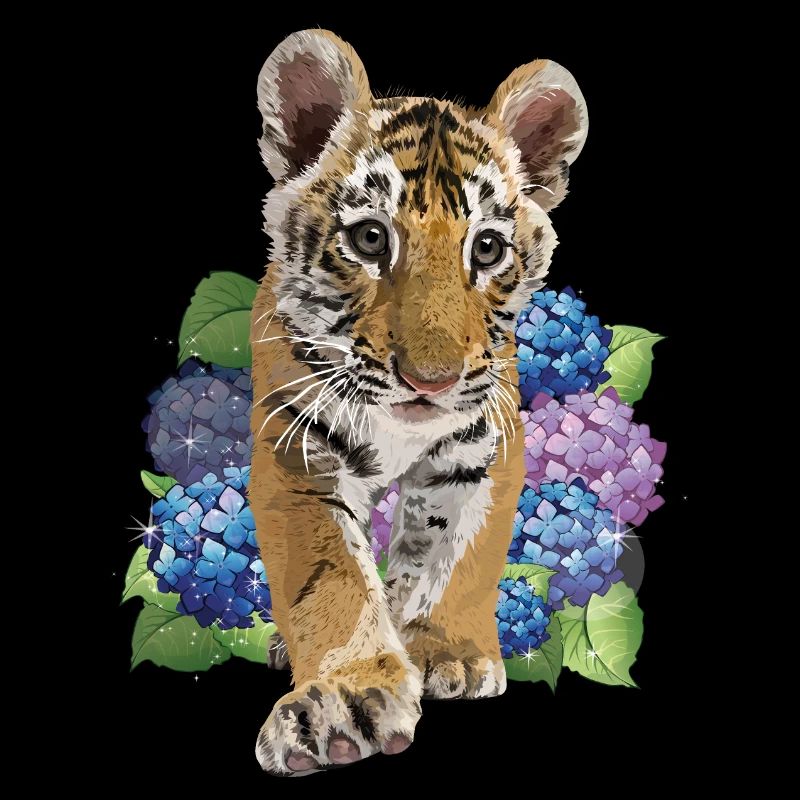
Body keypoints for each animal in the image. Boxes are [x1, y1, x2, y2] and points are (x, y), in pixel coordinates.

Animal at [250, 29, 587, 775]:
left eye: (486, 249)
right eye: (371, 238)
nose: (429, 381)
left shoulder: (482, 447)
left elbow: (458, 555)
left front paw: (447, 652)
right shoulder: (297, 453)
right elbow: (333, 578)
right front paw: (344, 700)